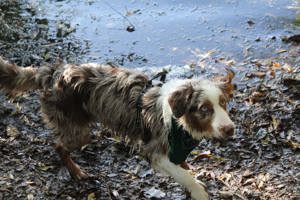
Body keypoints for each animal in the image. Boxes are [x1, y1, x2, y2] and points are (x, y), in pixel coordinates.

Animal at [0, 56, 234, 200]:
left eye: (223, 103)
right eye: (205, 109)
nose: (230, 129)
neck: (179, 121)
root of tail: (53, 72)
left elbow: (183, 166)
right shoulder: (154, 151)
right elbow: (182, 175)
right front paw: (198, 191)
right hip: (77, 131)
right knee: (58, 146)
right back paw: (77, 172)